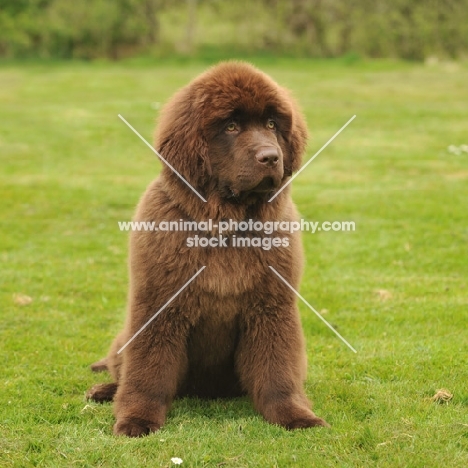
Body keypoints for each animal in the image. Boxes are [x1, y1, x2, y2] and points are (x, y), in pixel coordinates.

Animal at [88, 61, 330, 436]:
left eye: (271, 124)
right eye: (231, 126)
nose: (271, 157)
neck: (225, 225)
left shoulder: (272, 307)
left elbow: (277, 370)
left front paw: (295, 415)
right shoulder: (158, 305)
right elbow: (147, 371)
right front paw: (137, 419)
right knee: (122, 371)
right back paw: (104, 391)